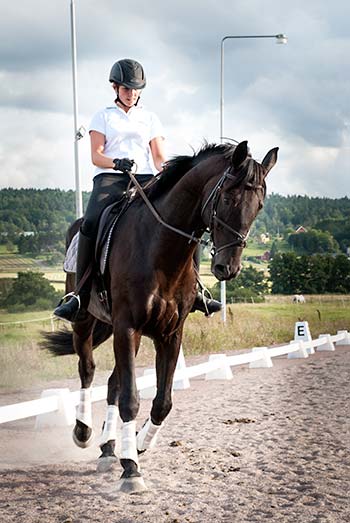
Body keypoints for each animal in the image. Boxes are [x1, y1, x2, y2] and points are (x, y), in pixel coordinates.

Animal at [44, 141, 278, 494]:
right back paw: (84, 432)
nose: (228, 268)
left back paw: (108, 448)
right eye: (228, 198)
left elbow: (162, 402)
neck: (161, 251)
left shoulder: (169, 334)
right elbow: (130, 398)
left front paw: (139, 444)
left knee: (112, 383)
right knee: (87, 370)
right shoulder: (128, 326)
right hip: (86, 321)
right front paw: (131, 469)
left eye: (260, 204)